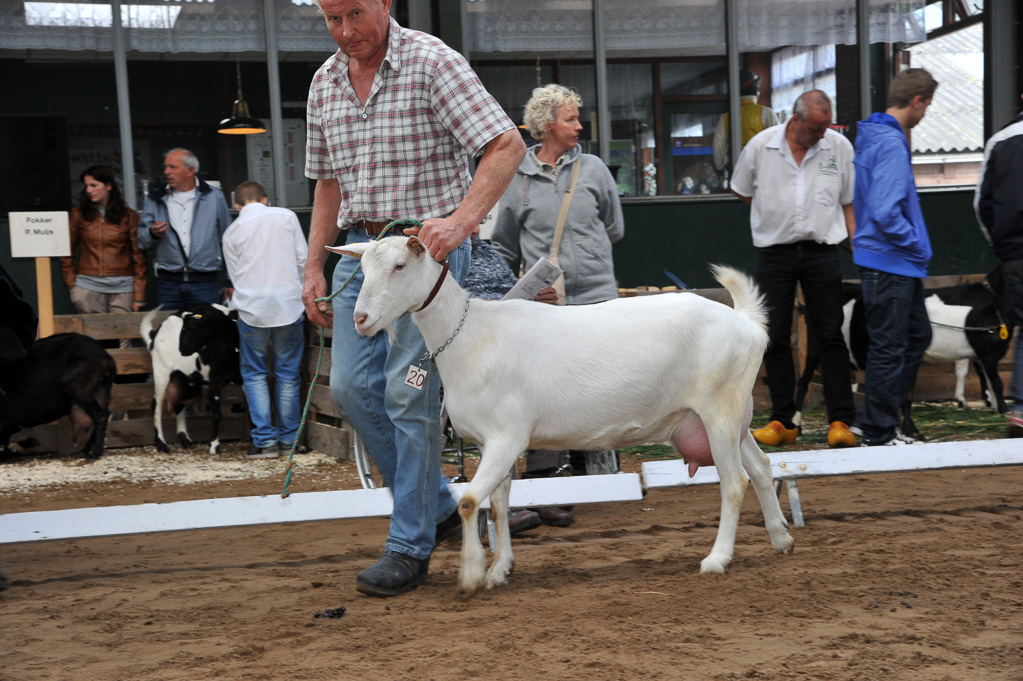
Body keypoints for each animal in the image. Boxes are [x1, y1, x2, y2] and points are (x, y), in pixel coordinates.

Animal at [141, 302, 242, 454]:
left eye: (195, 324)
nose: (182, 348)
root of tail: (154, 335)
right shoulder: (216, 380)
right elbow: (216, 414)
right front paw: (214, 446)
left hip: (186, 380)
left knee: (179, 404)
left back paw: (185, 440)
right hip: (161, 373)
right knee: (156, 407)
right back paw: (162, 444)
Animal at [331, 236, 793, 593]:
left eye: (399, 266)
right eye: (363, 270)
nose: (360, 319)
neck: (469, 334)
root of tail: (746, 323)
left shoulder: (507, 437)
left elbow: (468, 501)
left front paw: (471, 574)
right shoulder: (493, 441)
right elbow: (497, 504)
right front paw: (499, 570)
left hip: (719, 409)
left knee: (733, 482)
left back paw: (718, 559)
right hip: (735, 414)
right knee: (761, 468)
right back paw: (781, 538)